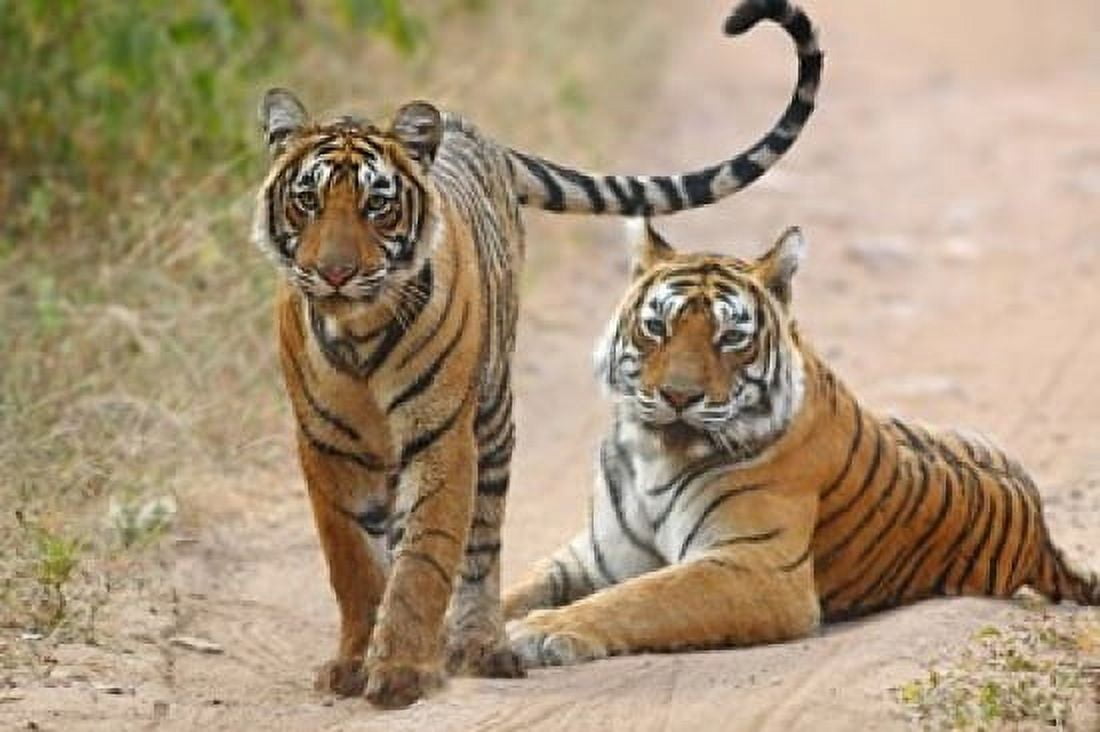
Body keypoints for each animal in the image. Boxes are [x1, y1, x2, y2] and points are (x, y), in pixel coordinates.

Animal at [252, 0, 822, 708]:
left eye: (376, 206)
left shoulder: (443, 436)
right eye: (307, 200)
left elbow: (425, 559)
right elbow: (353, 562)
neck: (357, 332)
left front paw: (403, 671)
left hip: (493, 418)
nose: (333, 274)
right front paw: (355, 662)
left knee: (479, 543)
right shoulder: (324, 445)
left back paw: (478, 646)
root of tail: (476, 133)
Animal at [503, 220, 1100, 667]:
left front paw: (540, 631)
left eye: (730, 337)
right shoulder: (591, 557)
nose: (677, 396)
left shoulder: (757, 568)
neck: (654, 456)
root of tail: (1041, 528)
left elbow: (639, 598)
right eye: (657, 327)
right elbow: (515, 587)